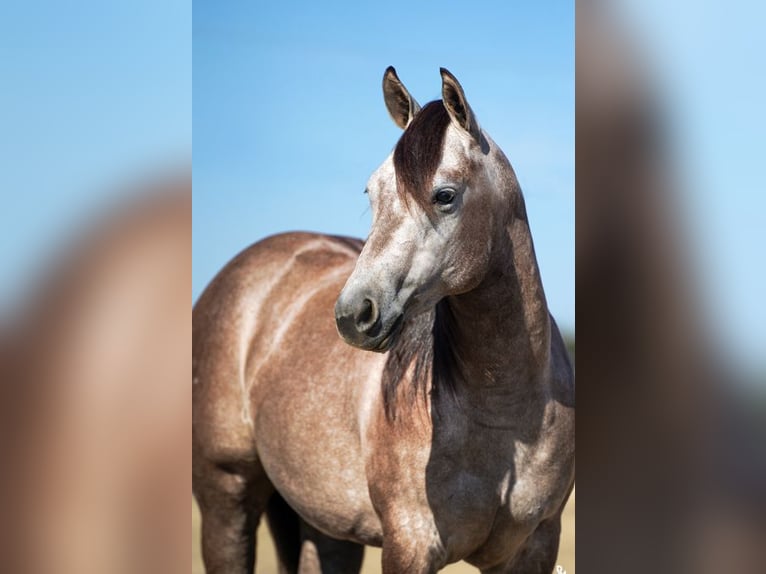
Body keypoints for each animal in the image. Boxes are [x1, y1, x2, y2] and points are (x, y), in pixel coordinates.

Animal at [194, 68, 576, 574]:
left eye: (445, 195)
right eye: (372, 193)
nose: (353, 314)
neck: (504, 417)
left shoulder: (535, 546)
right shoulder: (409, 544)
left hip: (325, 526)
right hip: (226, 497)